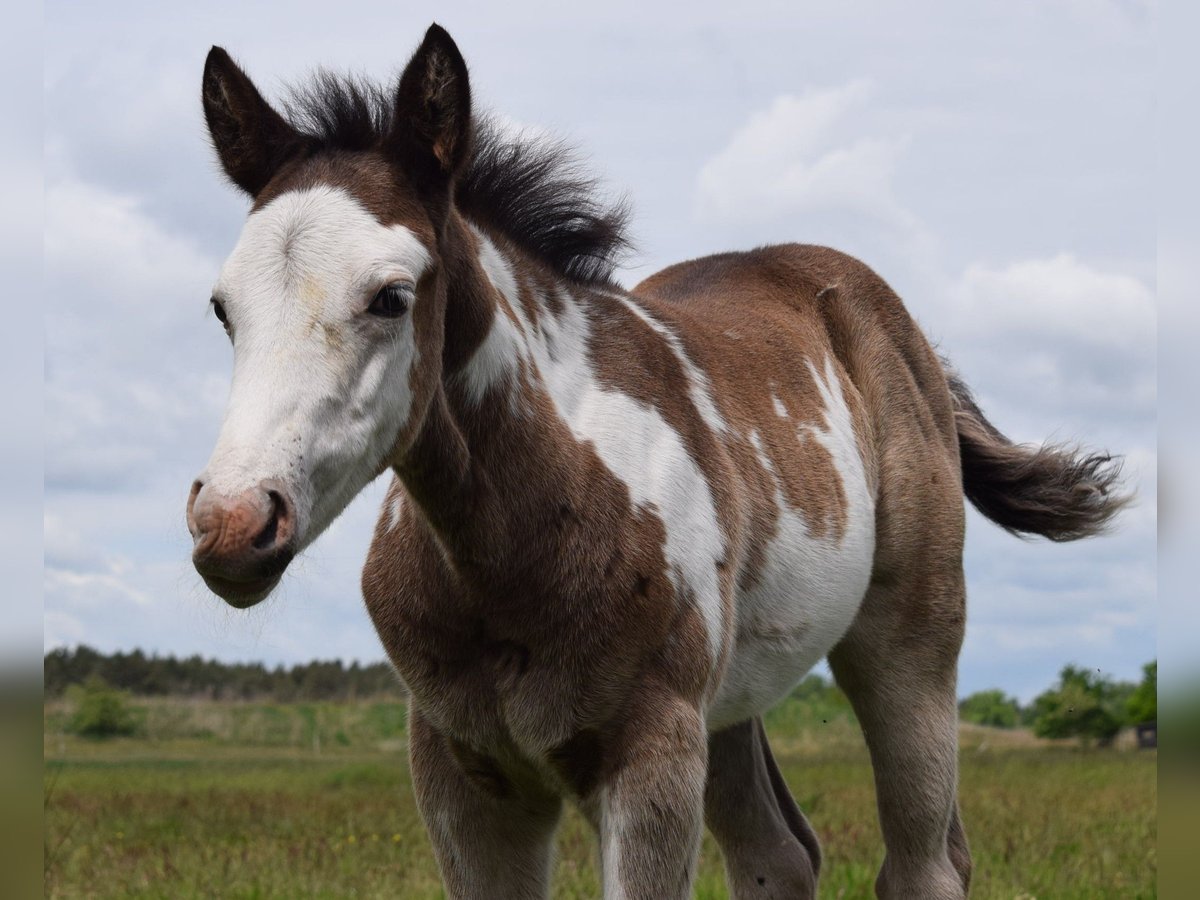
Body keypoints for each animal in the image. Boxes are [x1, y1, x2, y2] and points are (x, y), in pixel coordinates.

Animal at [188, 24, 1127, 900]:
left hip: (909, 640)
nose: (232, 521)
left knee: (923, 862)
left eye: (390, 297)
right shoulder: (463, 774)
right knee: (779, 855)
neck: (520, 539)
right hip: (731, 702)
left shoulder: (650, 758)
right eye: (223, 308)